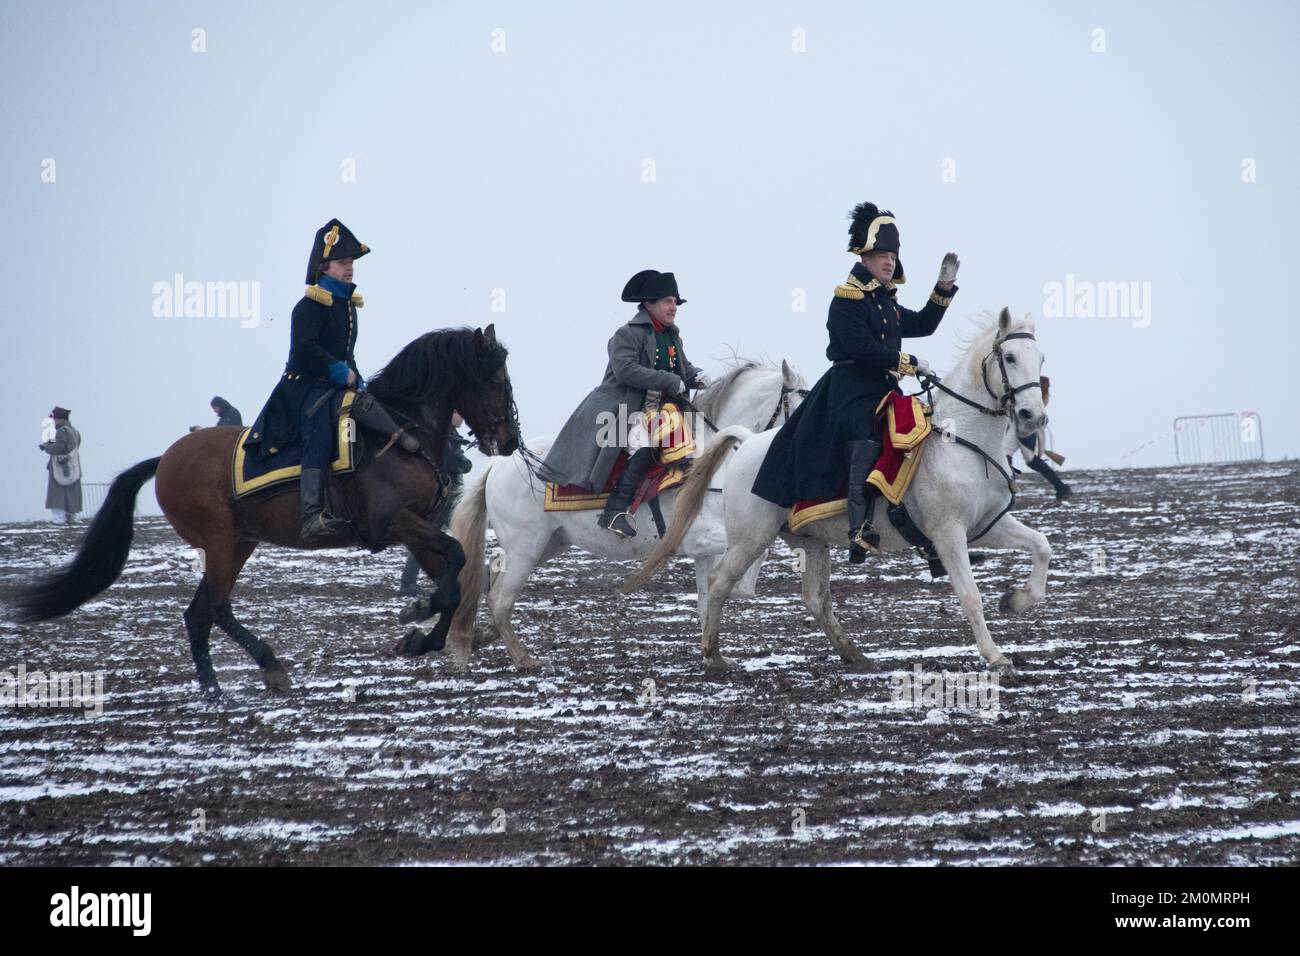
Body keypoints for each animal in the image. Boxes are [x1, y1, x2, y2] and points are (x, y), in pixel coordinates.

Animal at [11, 327, 517, 697]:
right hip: (218, 540)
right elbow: (454, 565)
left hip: (238, 542)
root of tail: (167, 458)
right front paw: (418, 615)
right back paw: (269, 666)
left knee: (198, 614)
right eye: (494, 379)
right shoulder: (394, 524)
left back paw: (213, 689)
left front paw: (422, 633)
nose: (509, 440)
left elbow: (456, 579)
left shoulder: (419, 528)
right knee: (217, 607)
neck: (398, 432)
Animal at [449, 361, 811, 671]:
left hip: (547, 545)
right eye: (802, 404)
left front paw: (712, 653)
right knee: (500, 598)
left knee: (490, 585)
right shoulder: (702, 537)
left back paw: (479, 634)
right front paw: (740, 593)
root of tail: (499, 466)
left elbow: (705, 600)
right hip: (526, 548)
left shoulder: (704, 551)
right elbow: (758, 554)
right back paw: (525, 659)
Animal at [621, 310, 1055, 676]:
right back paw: (713, 655)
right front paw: (996, 656)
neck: (962, 439)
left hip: (811, 541)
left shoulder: (988, 525)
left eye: (1041, 359)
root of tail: (749, 442)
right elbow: (970, 595)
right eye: (1010, 357)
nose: (1033, 416)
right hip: (750, 539)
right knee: (718, 582)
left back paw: (854, 655)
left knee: (816, 599)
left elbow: (1042, 546)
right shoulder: (947, 534)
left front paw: (1016, 600)